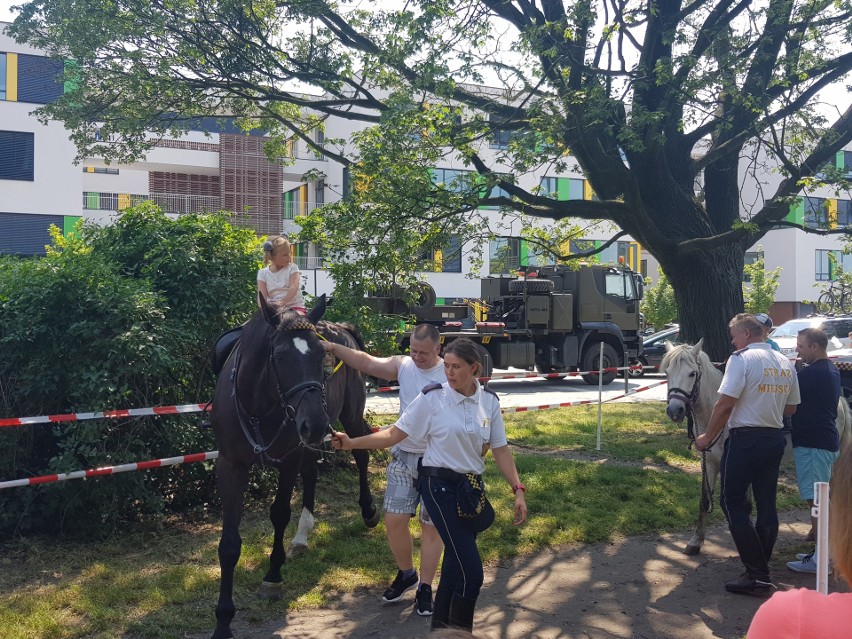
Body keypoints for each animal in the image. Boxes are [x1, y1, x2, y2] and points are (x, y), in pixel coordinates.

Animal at [210, 296, 380, 639]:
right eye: (278, 355)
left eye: (321, 356)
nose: (314, 422)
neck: (259, 405)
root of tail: (341, 327)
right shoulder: (231, 466)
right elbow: (229, 544)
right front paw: (223, 621)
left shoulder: (288, 458)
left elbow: (279, 513)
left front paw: (273, 576)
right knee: (312, 473)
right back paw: (302, 537)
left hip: (349, 416)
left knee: (362, 453)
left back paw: (368, 510)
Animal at [660, 340, 852, 556]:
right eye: (667, 372)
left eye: (692, 373)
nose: (675, 410)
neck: (716, 418)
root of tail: (841, 401)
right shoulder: (709, 463)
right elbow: (705, 501)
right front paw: (695, 541)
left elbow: (745, 506)